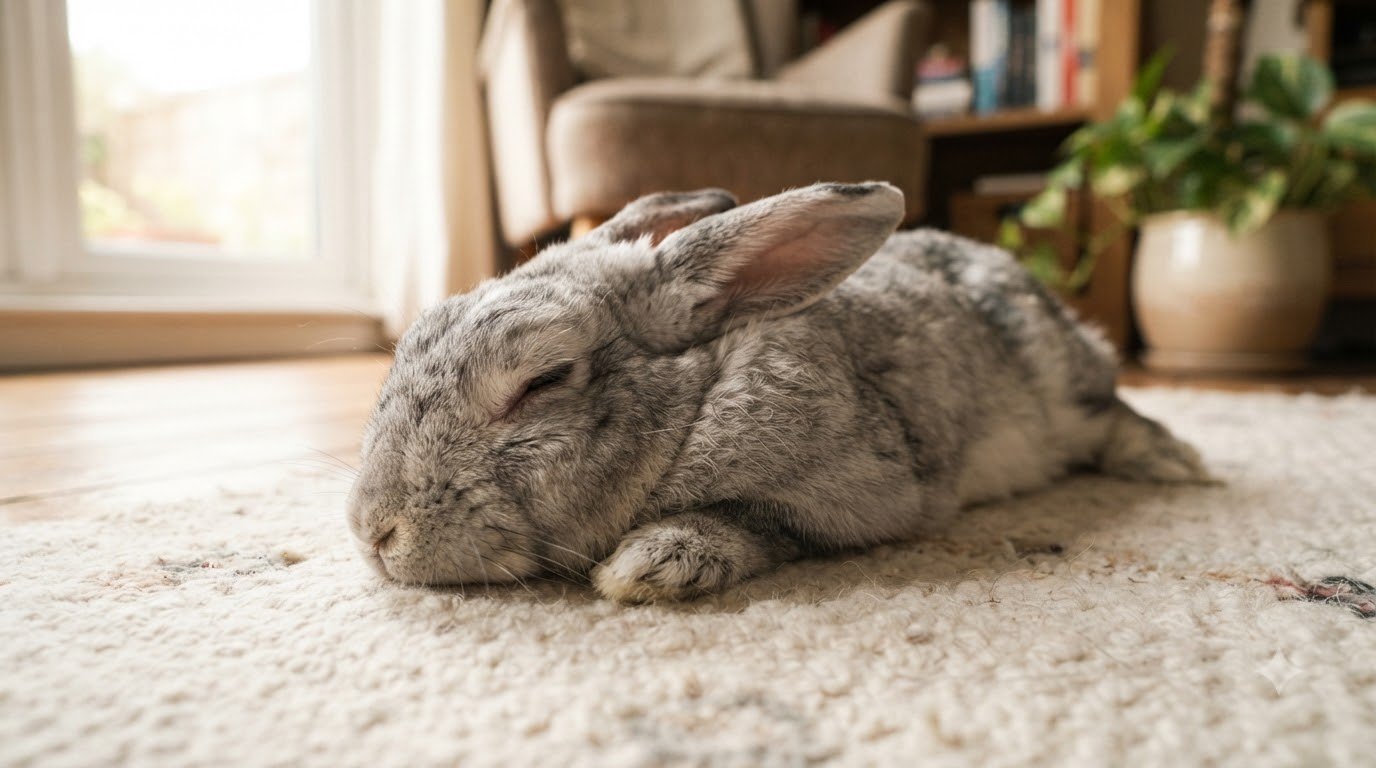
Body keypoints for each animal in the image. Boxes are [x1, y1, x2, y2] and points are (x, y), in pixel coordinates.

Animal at [346, 182, 1209, 603]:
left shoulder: (850, 494)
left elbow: (755, 523)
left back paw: (1174, 463)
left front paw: (649, 569)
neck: (691, 406)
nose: (373, 533)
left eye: (543, 380)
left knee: (1113, 412)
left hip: (1064, 382)